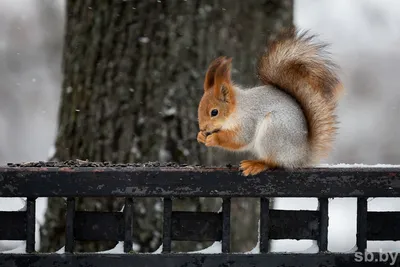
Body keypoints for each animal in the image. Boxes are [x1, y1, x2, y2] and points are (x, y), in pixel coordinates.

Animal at [197, 28, 344, 177]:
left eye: (214, 112)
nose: (203, 128)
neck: (235, 110)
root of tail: (301, 156)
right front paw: (201, 136)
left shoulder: (247, 120)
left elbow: (241, 138)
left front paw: (214, 139)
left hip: (272, 131)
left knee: (273, 162)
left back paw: (256, 164)